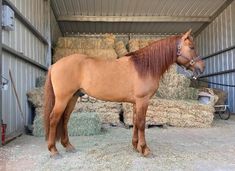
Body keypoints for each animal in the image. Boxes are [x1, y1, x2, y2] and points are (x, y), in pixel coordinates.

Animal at [43, 29, 205, 158]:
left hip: (72, 97)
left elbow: (135, 122)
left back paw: (68, 146)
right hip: (63, 98)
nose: (201, 67)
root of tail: (55, 65)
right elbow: (141, 124)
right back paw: (53, 150)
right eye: (192, 47)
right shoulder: (143, 101)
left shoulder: (136, 103)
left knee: (64, 119)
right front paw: (145, 149)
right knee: (54, 119)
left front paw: (136, 146)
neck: (145, 67)